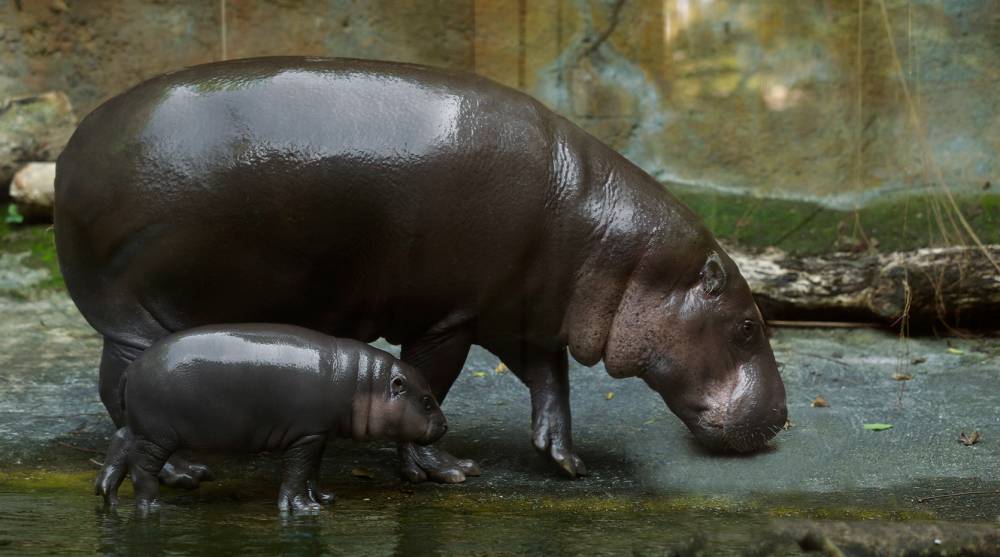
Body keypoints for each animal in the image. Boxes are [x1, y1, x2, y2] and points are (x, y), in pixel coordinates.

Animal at [55, 56, 787, 485]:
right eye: (750, 326)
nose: (782, 417)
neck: (609, 240)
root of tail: (70, 147)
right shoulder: (451, 315)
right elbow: (429, 381)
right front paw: (445, 469)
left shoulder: (514, 308)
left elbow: (549, 376)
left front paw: (563, 459)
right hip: (138, 314)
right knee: (126, 387)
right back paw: (183, 471)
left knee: (118, 385)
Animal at [95, 324, 447, 512]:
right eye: (427, 401)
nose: (444, 426)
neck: (364, 381)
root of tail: (132, 368)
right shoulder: (306, 435)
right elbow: (296, 473)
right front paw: (304, 509)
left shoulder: (317, 435)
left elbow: (311, 472)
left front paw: (324, 499)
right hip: (158, 435)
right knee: (142, 467)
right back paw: (153, 507)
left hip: (141, 427)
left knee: (120, 442)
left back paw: (107, 496)